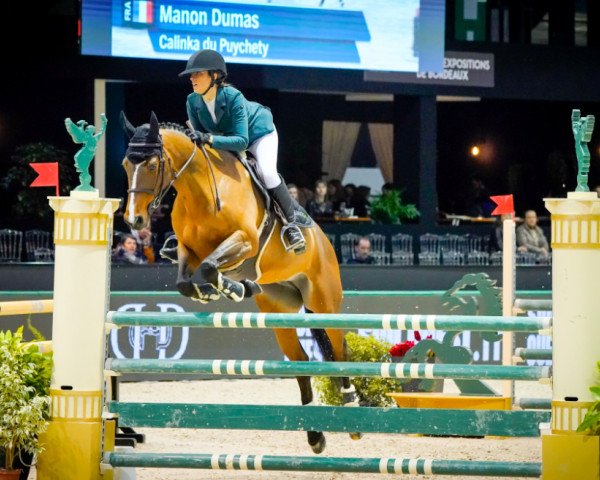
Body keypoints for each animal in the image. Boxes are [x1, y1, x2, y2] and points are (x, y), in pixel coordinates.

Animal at [119, 110, 358, 452]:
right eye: (126, 165)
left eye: (152, 165)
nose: (133, 220)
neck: (201, 191)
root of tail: (323, 240)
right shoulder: (187, 250)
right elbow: (187, 280)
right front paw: (220, 290)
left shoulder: (244, 242)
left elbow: (209, 267)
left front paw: (231, 288)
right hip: (279, 310)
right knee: (300, 362)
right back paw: (315, 436)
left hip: (323, 301)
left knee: (340, 349)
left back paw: (351, 406)